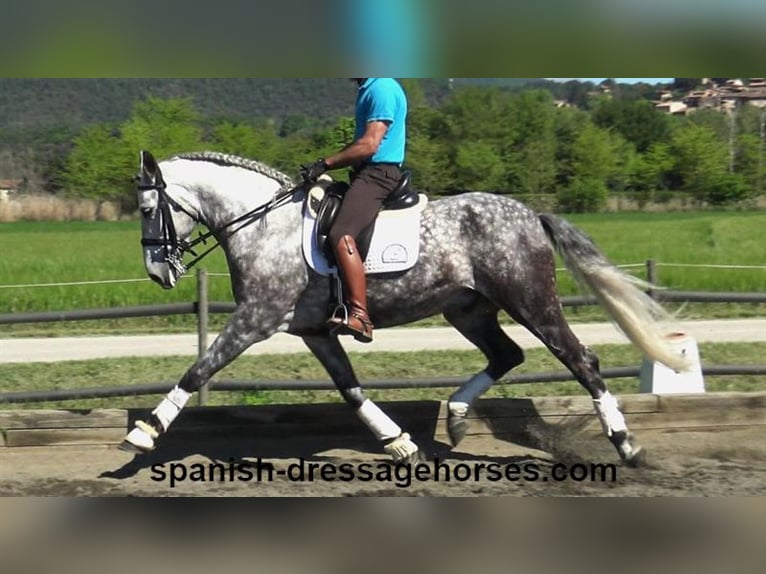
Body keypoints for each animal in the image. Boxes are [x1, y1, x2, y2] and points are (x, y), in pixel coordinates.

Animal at [124, 150, 688, 468]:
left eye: (149, 208)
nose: (156, 272)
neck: (263, 224)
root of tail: (531, 214)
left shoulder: (257, 319)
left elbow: (199, 369)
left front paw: (144, 432)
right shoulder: (314, 331)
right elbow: (350, 390)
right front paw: (399, 443)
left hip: (530, 299)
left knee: (580, 360)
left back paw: (627, 446)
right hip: (467, 309)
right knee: (507, 356)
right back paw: (456, 419)